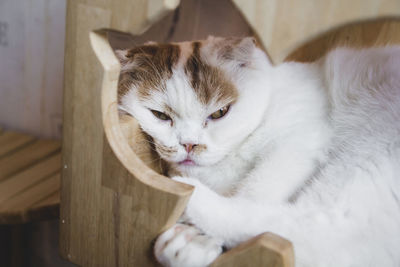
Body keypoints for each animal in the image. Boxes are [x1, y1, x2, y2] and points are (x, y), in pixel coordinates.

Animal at [115, 36, 400, 267]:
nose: (189, 144)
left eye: (219, 113)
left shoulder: (299, 140)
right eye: (160, 115)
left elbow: (256, 191)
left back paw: (190, 197)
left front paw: (195, 240)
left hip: (367, 159)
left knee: (317, 224)